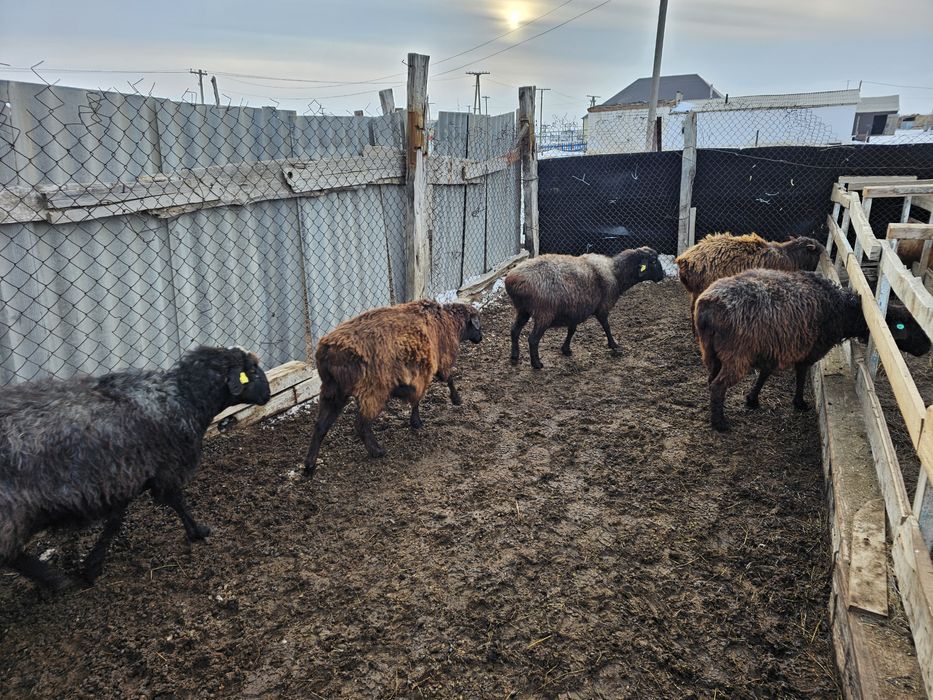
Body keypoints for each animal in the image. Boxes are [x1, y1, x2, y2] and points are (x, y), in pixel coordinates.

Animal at [0, 346, 271, 589]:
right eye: (253, 372)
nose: (267, 395)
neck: (185, 399)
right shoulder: (164, 469)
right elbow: (176, 502)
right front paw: (198, 531)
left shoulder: (124, 477)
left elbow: (115, 521)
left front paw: (92, 566)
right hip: (12, 512)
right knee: (11, 555)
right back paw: (55, 580)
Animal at [303, 300, 482, 475]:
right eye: (477, 324)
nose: (481, 337)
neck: (448, 320)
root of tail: (328, 351)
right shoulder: (440, 362)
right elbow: (447, 379)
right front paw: (456, 400)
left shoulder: (420, 374)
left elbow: (417, 398)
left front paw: (415, 421)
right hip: (373, 392)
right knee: (361, 425)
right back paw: (377, 451)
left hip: (333, 391)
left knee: (320, 426)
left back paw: (309, 465)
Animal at [505, 246, 664, 369]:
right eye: (653, 261)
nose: (663, 276)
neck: (616, 273)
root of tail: (511, 280)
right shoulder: (602, 308)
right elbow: (606, 326)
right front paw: (613, 345)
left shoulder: (576, 309)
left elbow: (572, 330)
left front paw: (566, 349)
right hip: (544, 313)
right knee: (533, 339)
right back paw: (536, 364)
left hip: (523, 310)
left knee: (514, 330)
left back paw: (514, 356)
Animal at [695, 269, 930, 431]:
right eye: (905, 324)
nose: (928, 345)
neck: (842, 311)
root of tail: (707, 305)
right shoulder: (809, 350)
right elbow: (801, 375)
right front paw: (799, 403)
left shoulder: (772, 348)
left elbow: (765, 374)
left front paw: (752, 399)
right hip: (737, 355)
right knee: (718, 386)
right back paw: (720, 424)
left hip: (712, 353)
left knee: (711, 380)